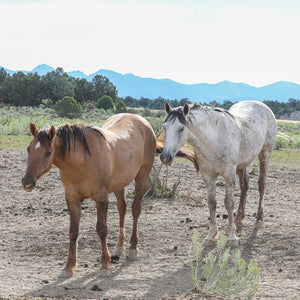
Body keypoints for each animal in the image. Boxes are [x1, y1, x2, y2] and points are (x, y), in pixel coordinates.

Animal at [21, 113, 199, 278]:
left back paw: (132, 249)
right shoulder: (72, 198)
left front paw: (105, 265)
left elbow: (102, 229)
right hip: (119, 185)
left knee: (135, 210)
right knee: (122, 208)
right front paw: (68, 267)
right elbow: (73, 231)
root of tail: (142, 121)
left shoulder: (101, 197)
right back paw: (119, 248)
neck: (81, 161)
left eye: (48, 152)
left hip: (142, 177)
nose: (27, 182)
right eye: (28, 149)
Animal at [162, 101, 276, 246]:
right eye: (164, 127)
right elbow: (212, 203)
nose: (165, 157)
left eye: (181, 128)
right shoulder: (208, 177)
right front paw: (211, 236)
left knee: (261, 185)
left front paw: (232, 238)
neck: (214, 140)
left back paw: (259, 220)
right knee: (244, 185)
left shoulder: (229, 175)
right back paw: (239, 217)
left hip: (265, 153)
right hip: (241, 165)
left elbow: (229, 203)